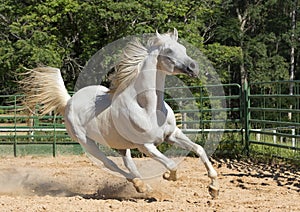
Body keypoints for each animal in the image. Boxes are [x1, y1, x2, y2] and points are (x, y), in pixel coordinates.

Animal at [19, 29, 219, 198]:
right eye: (169, 50)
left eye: (183, 48)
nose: (194, 68)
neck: (148, 108)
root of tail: (69, 101)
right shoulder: (146, 146)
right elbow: (171, 164)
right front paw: (168, 177)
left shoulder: (172, 135)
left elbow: (199, 149)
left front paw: (213, 187)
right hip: (87, 143)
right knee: (111, 164)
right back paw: (140, 185)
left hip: (120, 145)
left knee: (128, 164)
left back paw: (143, 187)